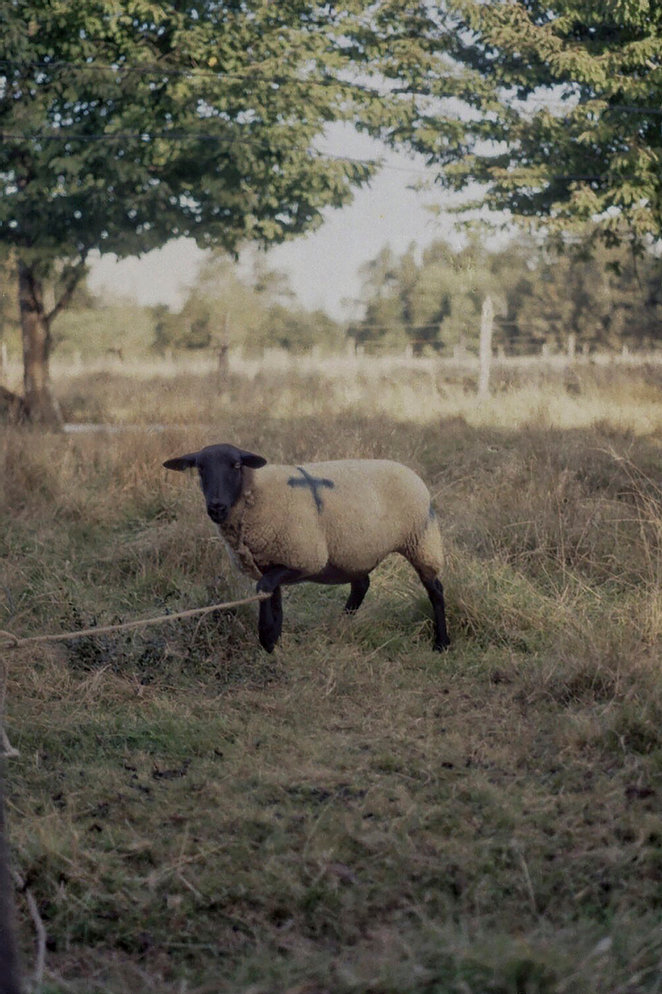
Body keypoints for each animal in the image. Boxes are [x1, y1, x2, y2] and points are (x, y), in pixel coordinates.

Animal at [163, 442, 452, 652]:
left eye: (236, 465)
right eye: (200, 468)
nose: (216, 507)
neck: (257, 492)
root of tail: (408, 471)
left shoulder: (304, 559)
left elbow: (264, 588)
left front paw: (266, 635)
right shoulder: (272, 560)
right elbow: (271, 596)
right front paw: (273, 640)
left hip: (421, 540)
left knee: (435, 589)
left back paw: (442, 642)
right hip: (354, 550)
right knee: (362, 584)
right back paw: (341, 623)